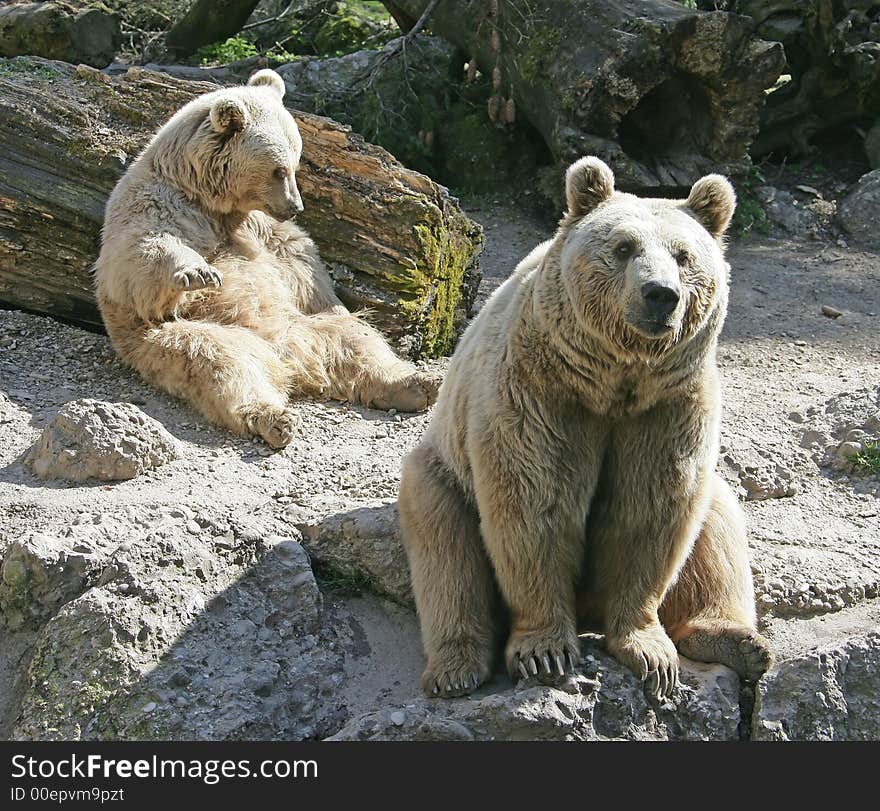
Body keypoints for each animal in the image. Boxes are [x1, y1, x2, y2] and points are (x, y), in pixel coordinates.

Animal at [95, 70, 436, 448]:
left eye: (296, 163)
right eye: (278, 170)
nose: (295, 206)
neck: (209, 198)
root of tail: (292, 357)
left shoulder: (263, 228)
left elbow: (300, 260)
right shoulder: (157, 204)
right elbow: (140, 256)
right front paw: (197, 272)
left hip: (311, 327)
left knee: (359, 341)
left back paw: (415, 384)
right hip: (191, 337)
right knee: (222, 363)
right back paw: (274, 418)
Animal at [398, 157, 768, 696]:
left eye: (684, 256)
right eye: (623, 247)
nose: (661, 295)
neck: (613, 381)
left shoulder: (668, 406)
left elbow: (651, 509)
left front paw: (650, 651)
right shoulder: (540, 392)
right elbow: (535, 502)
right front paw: (545, 652)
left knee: (716, 525)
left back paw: (739, 641)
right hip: (443, 470)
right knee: (445, 553)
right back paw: (456, 667)